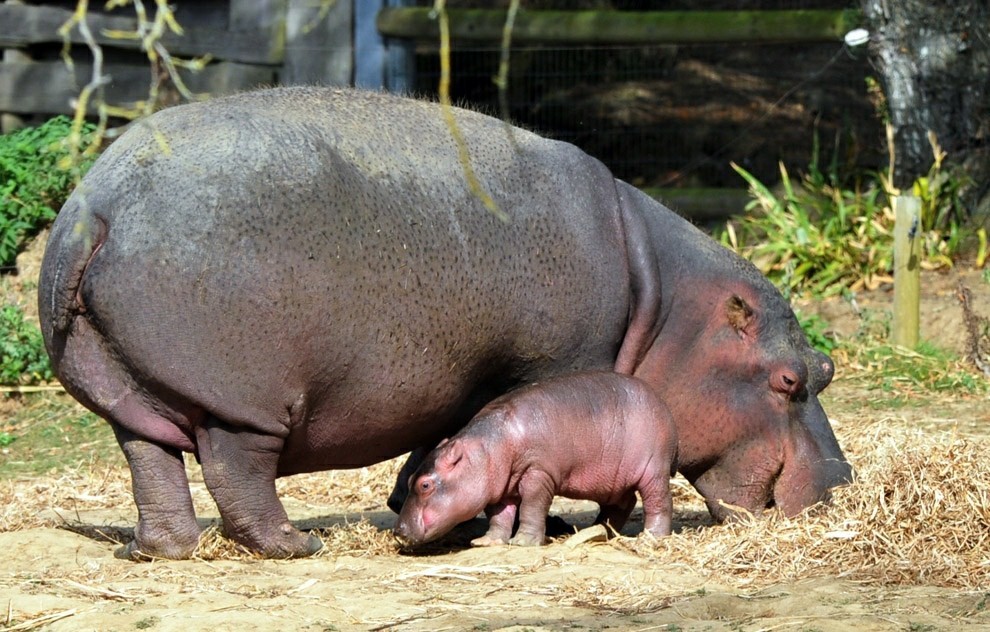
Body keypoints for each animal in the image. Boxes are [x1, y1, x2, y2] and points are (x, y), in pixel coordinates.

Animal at [394, 372, 676, 544]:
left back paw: (652, 537)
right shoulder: (501, 486)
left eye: (425, 485)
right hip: (614, 481)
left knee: (658, 500)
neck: (486, 450)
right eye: (409, 482)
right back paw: (597, 531)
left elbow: (531, 506)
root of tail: (662, 403)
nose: (398, 531)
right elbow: (499, 515)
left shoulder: (538, 473)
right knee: (622, 503)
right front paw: (485, 542)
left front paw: (522, 542)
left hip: (654, 469)